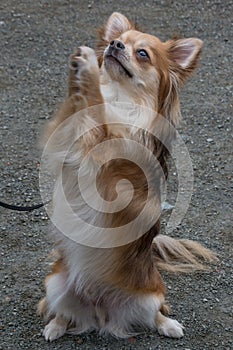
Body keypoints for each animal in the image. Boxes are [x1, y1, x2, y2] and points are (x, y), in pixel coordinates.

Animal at [37, 11, 215, 342]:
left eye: (142, 53)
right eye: (115, 42)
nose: (114, 45)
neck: (122, 100)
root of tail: (100, 310)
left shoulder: (114, 173)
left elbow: (97, 111)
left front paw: (87, 73)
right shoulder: (66, 136)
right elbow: (79, 111)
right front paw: (80, 74)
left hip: (151, 294)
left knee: (153, 314)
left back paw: (169, 325)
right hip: (54, 283)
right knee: (62, 311)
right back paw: (55, 325)